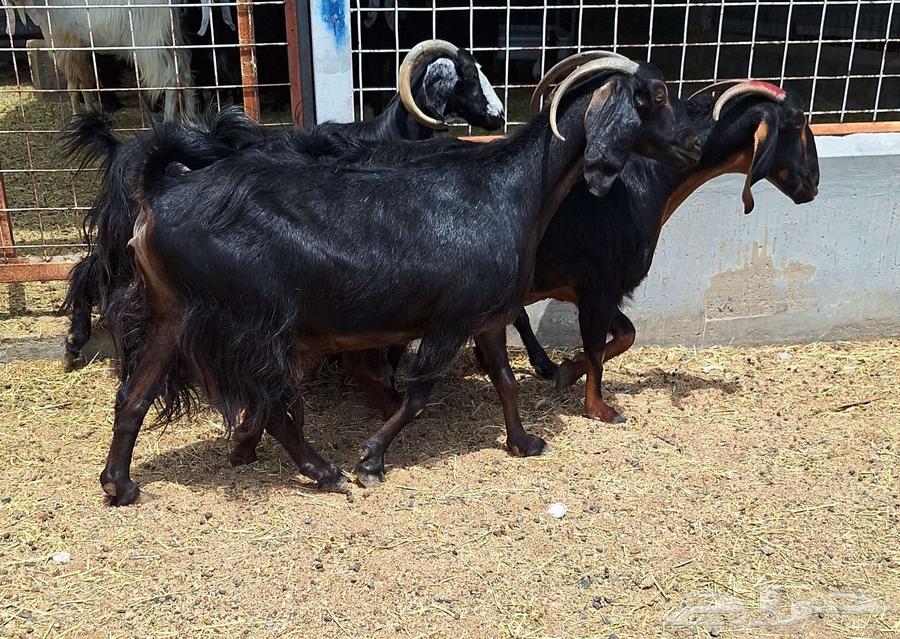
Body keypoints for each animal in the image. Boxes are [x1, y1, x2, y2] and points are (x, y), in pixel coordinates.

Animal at [3, 0, 198, 120]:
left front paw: (76, 117)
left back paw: (169, 120)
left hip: (149, 44)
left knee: (171, 78)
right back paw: (190, 118)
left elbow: (73, 87)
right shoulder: (81, 50)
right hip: (172, 37)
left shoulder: (67, 47)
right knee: (185, 74)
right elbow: (84, 83)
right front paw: (90, 113)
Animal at [60, 39, 506, 372]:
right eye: (467, 75)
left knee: (93, 270)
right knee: (92, 274)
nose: (499, 116)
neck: (389, 132)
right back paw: (77, 343)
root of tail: (120, 150)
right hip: (126, 235)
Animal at [98, 55, 700, 505]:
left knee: (134, 395)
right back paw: (323, 470)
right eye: (656, 94)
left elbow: (504, 379)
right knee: (268, 401)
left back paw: (120, 485)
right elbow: (417, 395)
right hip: (248, 320)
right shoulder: (450, 318)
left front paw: (524, 441)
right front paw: (370, 459)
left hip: (173, 314)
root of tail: (158, 196)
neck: (510, 190)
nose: (694, 144)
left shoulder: (486, 315)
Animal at [511, 81, 820, 422]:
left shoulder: (592, 291)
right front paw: (599, 409)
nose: (814, 182)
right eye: (797, 121)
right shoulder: (600, 285)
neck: (643, 181)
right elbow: (595, 347)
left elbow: (626, 335)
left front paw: (567, 370)